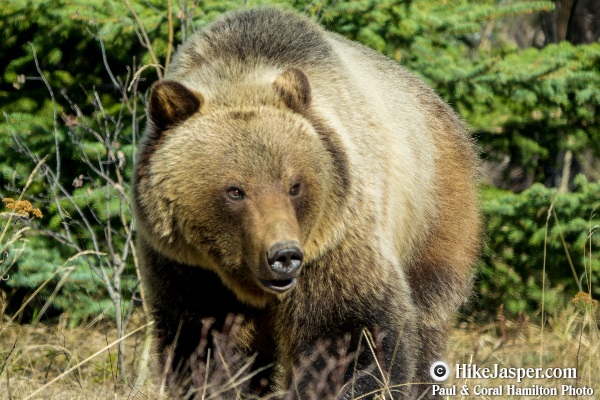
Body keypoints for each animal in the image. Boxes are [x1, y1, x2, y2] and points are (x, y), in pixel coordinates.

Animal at [134, 6, 480, 400]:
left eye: (294, 186)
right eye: (235, 191)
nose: (284, 255)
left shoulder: (335, 244)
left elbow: (349, 331)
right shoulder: (188, 267)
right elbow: (202, 343)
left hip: (432, 209)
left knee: (427, 312)